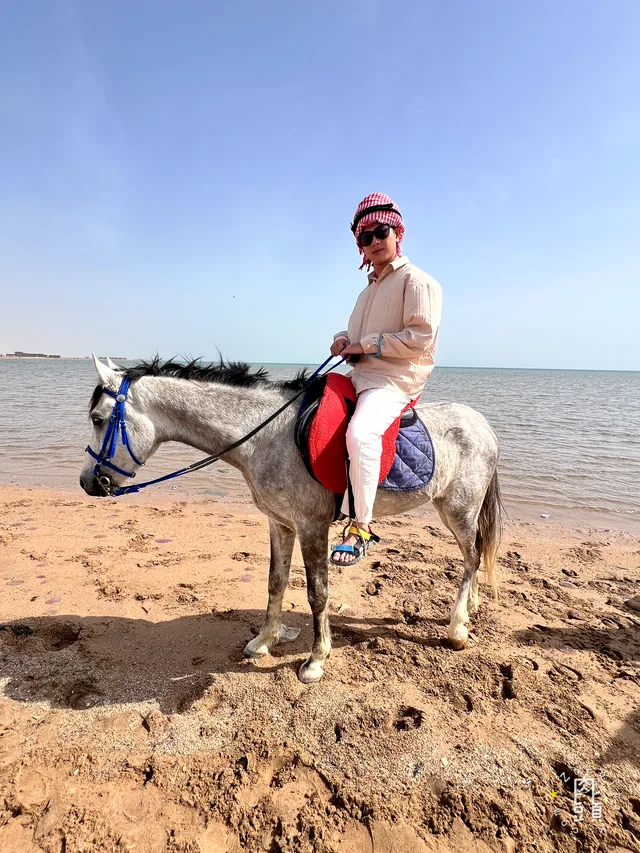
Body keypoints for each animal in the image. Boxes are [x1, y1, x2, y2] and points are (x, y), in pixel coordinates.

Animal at [80, 356, 503, 684]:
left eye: (99, 419)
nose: (87, 482)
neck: (266, 436)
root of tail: (483, 424)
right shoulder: (280, 523)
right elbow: (275, 582)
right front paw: (264, 641)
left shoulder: (311, 526)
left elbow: (317, 594)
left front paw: (316, 659)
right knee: (473, 559)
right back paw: (470, 609)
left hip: (459, 510)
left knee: (471, 558)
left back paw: (457, 627)